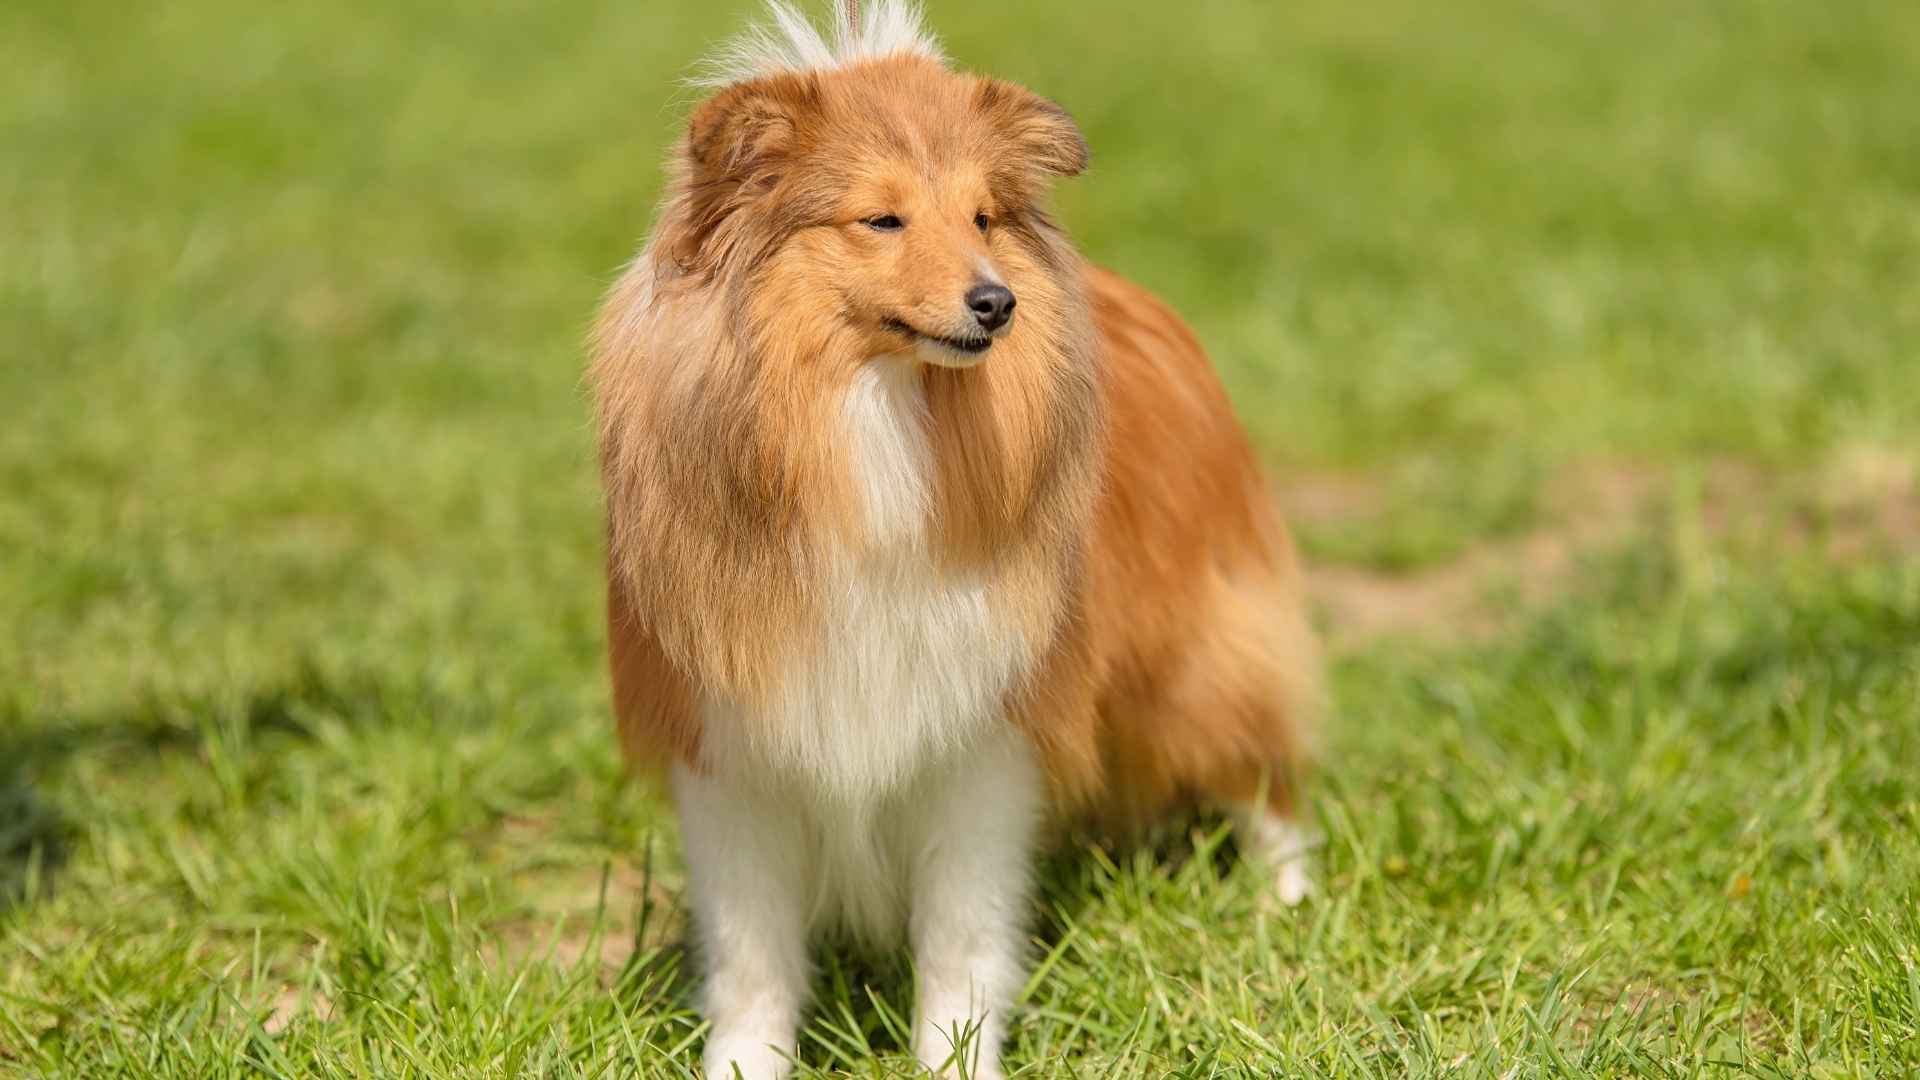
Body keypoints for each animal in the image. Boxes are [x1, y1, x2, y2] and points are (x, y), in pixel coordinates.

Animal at [591, 4, 1320, 1068]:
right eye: (881, 219)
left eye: (980, 218)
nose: (996, 302)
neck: (874, 423)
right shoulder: (733, 745)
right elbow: (752, 956)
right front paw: (742, 1066)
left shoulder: (979, 738)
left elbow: (962, 937)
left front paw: (955, 1060)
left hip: (1189, 654)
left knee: (1261, 764)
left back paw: (1290, 902)